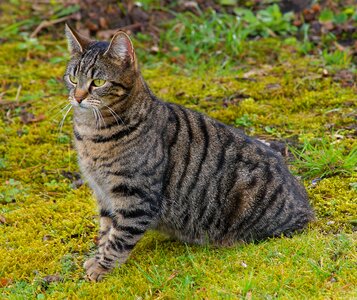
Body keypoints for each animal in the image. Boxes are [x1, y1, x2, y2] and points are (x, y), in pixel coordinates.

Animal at [63, 24, 312, 282]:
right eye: (73, 78)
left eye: (98, 81)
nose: (78, 97)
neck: (91, 133)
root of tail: (306, 209)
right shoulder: (103, 193)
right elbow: (106, 230)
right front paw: (97, 257)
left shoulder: (135, 195)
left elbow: (119, 238)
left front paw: (102, 267)